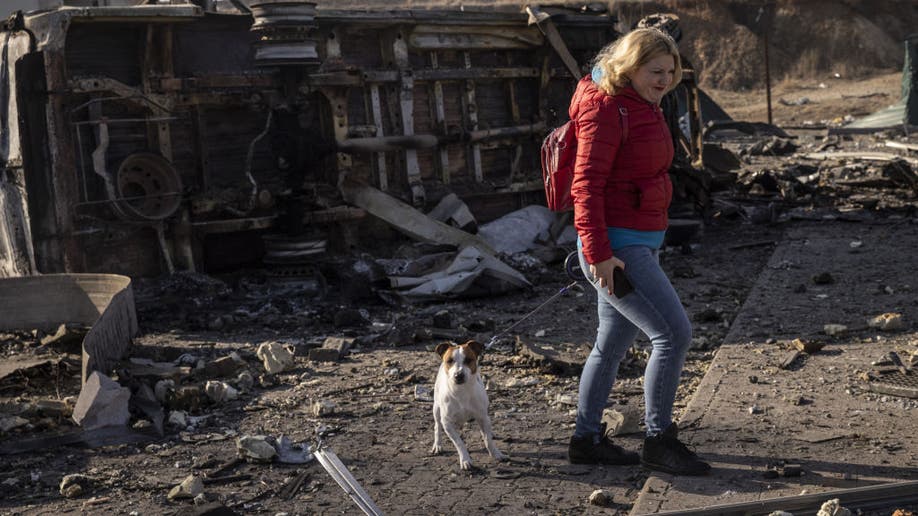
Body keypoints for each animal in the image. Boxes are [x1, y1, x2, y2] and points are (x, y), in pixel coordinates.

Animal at [430, 340, 504, 470]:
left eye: (468, 360)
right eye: (449, 361)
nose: (458, 375)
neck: (462, 391)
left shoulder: (482, 416)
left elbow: (488, 439)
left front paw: (495, 453)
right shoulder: (447, 423)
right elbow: (459, 443)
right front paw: (465, 460)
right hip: (437, 409)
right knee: (437, 426)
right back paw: (437, 445)